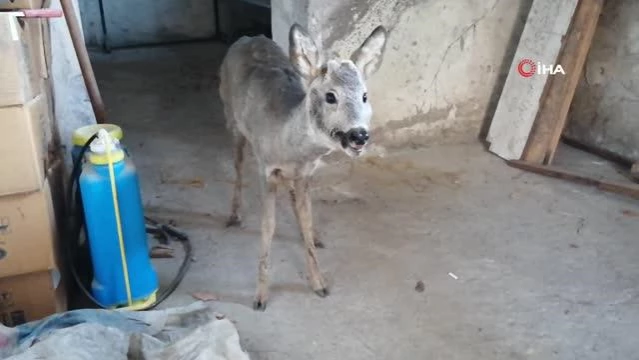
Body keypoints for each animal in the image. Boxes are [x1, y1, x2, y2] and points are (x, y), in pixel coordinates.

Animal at [219, 23, 390, 310]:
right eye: (330, 96)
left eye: (365, 96)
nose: (359, 135)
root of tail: (247, 37)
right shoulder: (266, 169)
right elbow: (268, 226)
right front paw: (260, 296)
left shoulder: (306, 173)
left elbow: (307, 217)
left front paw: (319, 283)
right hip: (231, 118)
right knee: (238, 165)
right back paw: (234, 215)